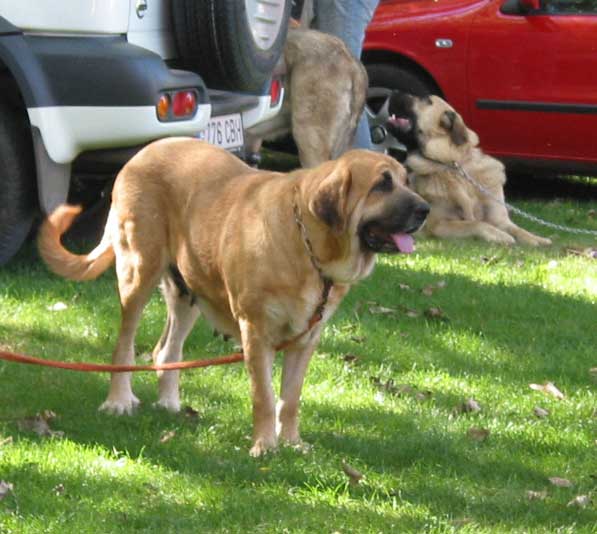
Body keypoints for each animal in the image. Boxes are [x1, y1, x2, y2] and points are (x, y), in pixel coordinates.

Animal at [37, 140, 428, 458]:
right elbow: (264, 397)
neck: (307, 244)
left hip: (187, 293)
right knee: (125, 346)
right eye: (381, 184)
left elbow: (291, 400)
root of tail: (141, 153)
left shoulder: (306, 340)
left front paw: (292, 443)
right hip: (138, 272)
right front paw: (265, 446)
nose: (425, 210)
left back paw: (169, 403)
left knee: (166, 350)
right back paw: (118, 401)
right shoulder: (255, 332)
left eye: (405, 180)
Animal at [386, 92, 548, 247]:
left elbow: (517, 229)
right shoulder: (438, 225)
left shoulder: (500, 219)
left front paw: (536, 238)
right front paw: (500, 235)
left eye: (426, 99)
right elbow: (476, 223)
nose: (392, 92)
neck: (453, 166)